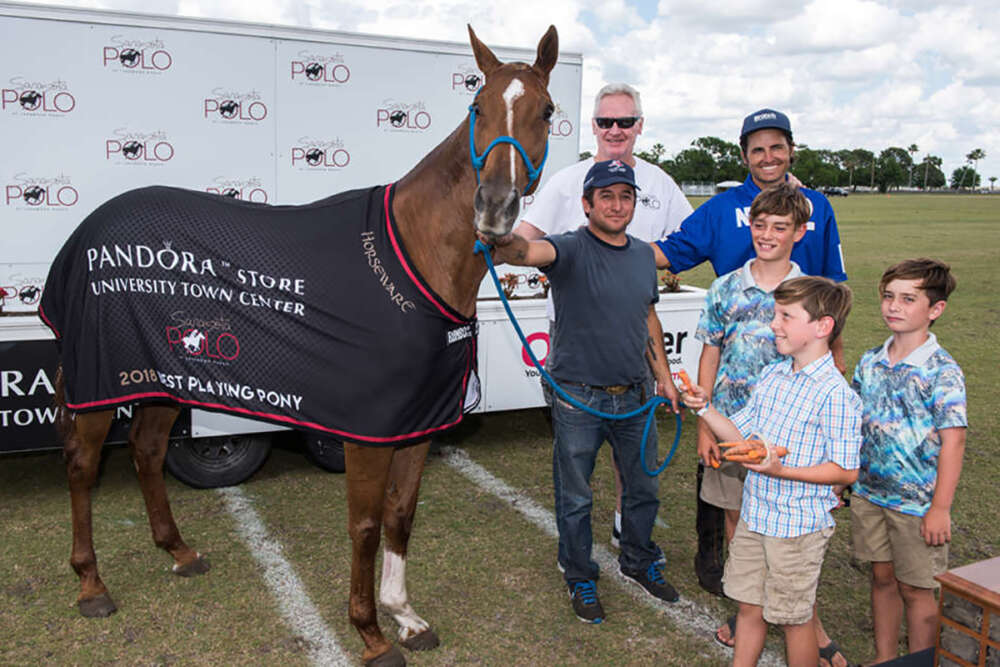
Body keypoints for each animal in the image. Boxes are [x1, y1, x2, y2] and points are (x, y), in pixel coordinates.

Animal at [50, 26, 560, 667]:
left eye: (546, 110)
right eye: (476, 106)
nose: (493, 207)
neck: (415, 256)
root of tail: (86, 232)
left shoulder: (417, 425)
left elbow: (401, 515)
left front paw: (405, 616)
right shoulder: (369, 432)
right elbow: (366, 525)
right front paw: (370, 632)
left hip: (163, 377)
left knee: (145, 450)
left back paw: (180, 552)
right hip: (100, 382)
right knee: (83, 464)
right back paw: (91, 584)